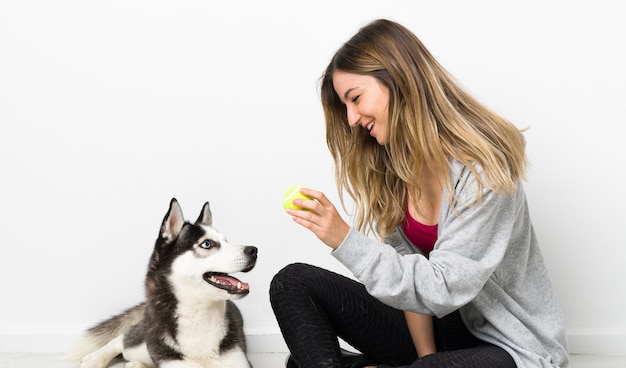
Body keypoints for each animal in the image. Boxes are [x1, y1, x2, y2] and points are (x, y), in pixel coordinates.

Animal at [65, 198, 256, 368]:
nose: (254, 250)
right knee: (123, 339)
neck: (197, 316)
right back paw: (96, 359)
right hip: (142, 346)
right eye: (207, 244)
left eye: (226, 241)